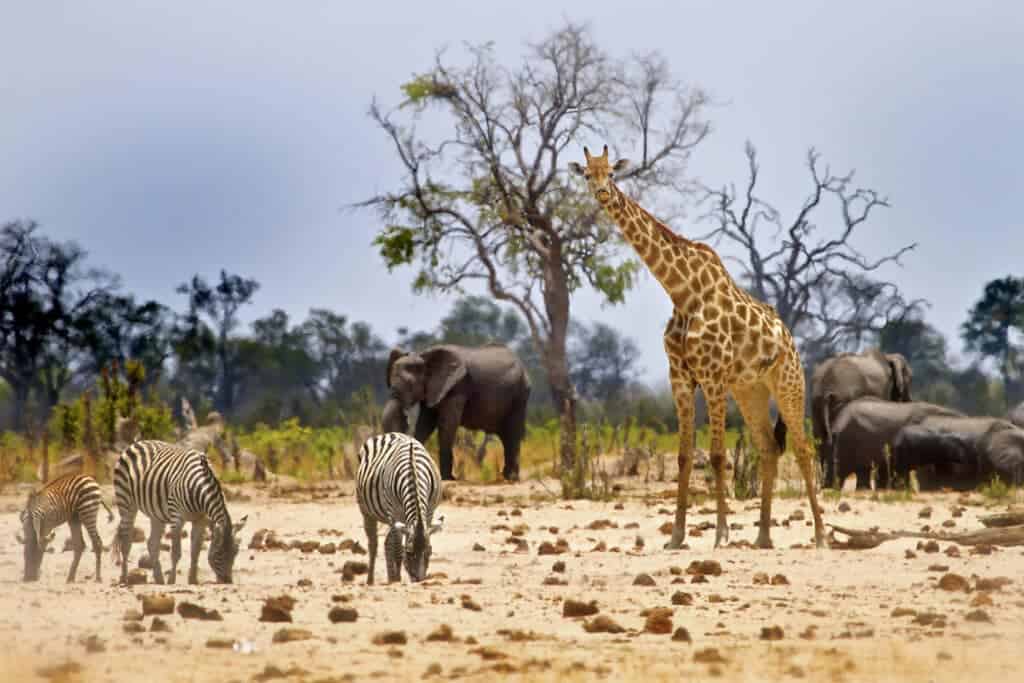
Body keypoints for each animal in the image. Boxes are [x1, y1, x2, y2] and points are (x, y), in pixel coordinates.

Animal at [112, 440, 247, 585]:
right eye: (218, 554)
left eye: (235, 552)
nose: (228, 581)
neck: (199, 489)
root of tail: (137, 442)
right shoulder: (177, 519)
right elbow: (176, 553)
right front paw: (172, 580)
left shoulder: (200, 520)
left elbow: (195, 551)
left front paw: (193, 580)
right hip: (126, 502)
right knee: (126, 540)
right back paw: (124, 578)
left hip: (156, 514)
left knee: (152, 543)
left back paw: (159, 579)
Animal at [356, 432, 444, 585]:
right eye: (409, 553)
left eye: (429, 551)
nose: (418, 581)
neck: (413, 471)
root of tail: (389, 434)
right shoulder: (394, 513)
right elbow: (397, 548)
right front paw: (396, 580)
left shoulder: (429, 512)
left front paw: (395, 578)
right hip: (366, 511)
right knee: (374, 544)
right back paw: (372, 580)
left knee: (387, 542)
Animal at [381, 343, 531, 482]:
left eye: (410, 384)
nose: (405, 415)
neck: (423, 355)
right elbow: (425, 423)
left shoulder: (458, 386)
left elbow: (447, 424)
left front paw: (447, 478)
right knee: (506, 437)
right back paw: (506, 477)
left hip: (519, 396)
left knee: (512, 434)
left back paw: (511, 478)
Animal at [569, 145, 826, 550]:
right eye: (586, 174)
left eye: (611, 172)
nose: (603, 194)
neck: (682, 292)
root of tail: (789, 337)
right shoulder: (680, 377)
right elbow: (684, 456)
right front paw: (676, 536)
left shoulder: (713, 375)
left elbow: (718, 455)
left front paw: (721, 534)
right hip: (750, 389)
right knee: (769, 448)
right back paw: (763, 537)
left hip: (788, 382)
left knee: (803, 448)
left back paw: (819, 535)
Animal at [810, 348, 913, 485]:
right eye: (910, 380)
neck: (888, 356)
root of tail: (825, 390)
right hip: (843, 401)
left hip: (816, 405)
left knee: (821, 444)